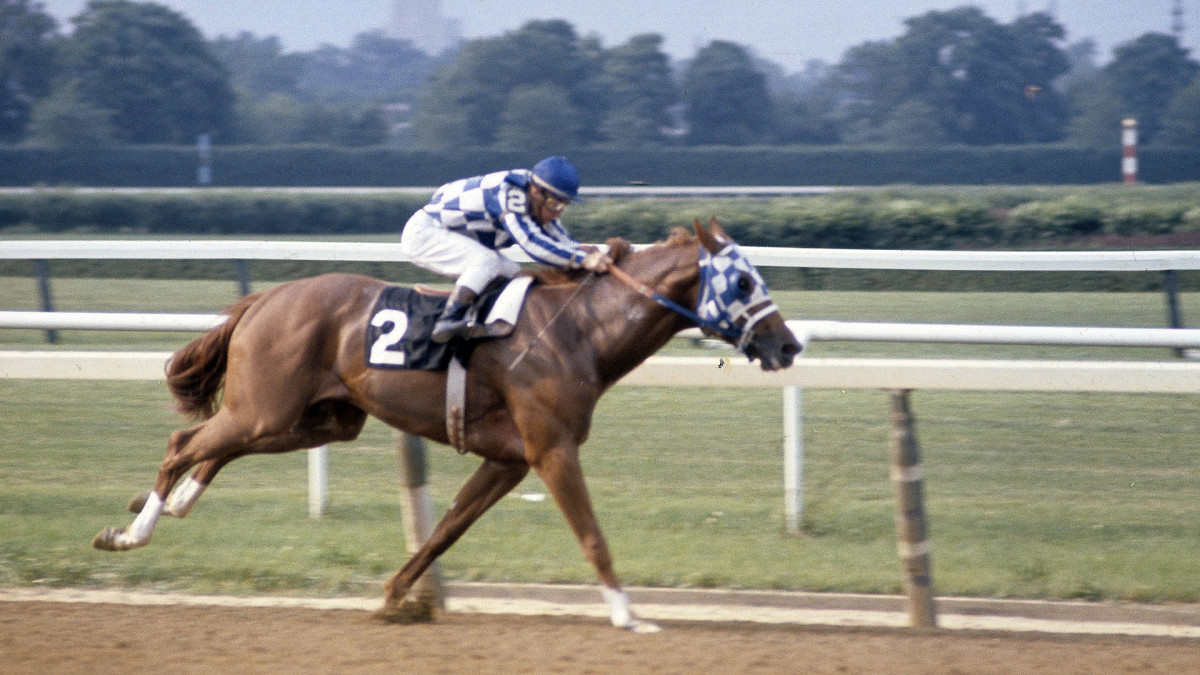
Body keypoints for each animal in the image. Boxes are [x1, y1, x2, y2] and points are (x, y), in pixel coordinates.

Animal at [93, 216, 801, 629]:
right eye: (742, 281)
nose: (788, 344)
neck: (578, 329)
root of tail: (265, 297)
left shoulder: (510, 459)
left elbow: (446, 531)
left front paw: (394, 597)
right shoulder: (551, 450)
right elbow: (592, 534)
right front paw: (629, 615)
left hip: (313, 419)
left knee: (212, 447)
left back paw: (176, 503)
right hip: (267, 408)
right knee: (183, 441)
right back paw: (130, 533)